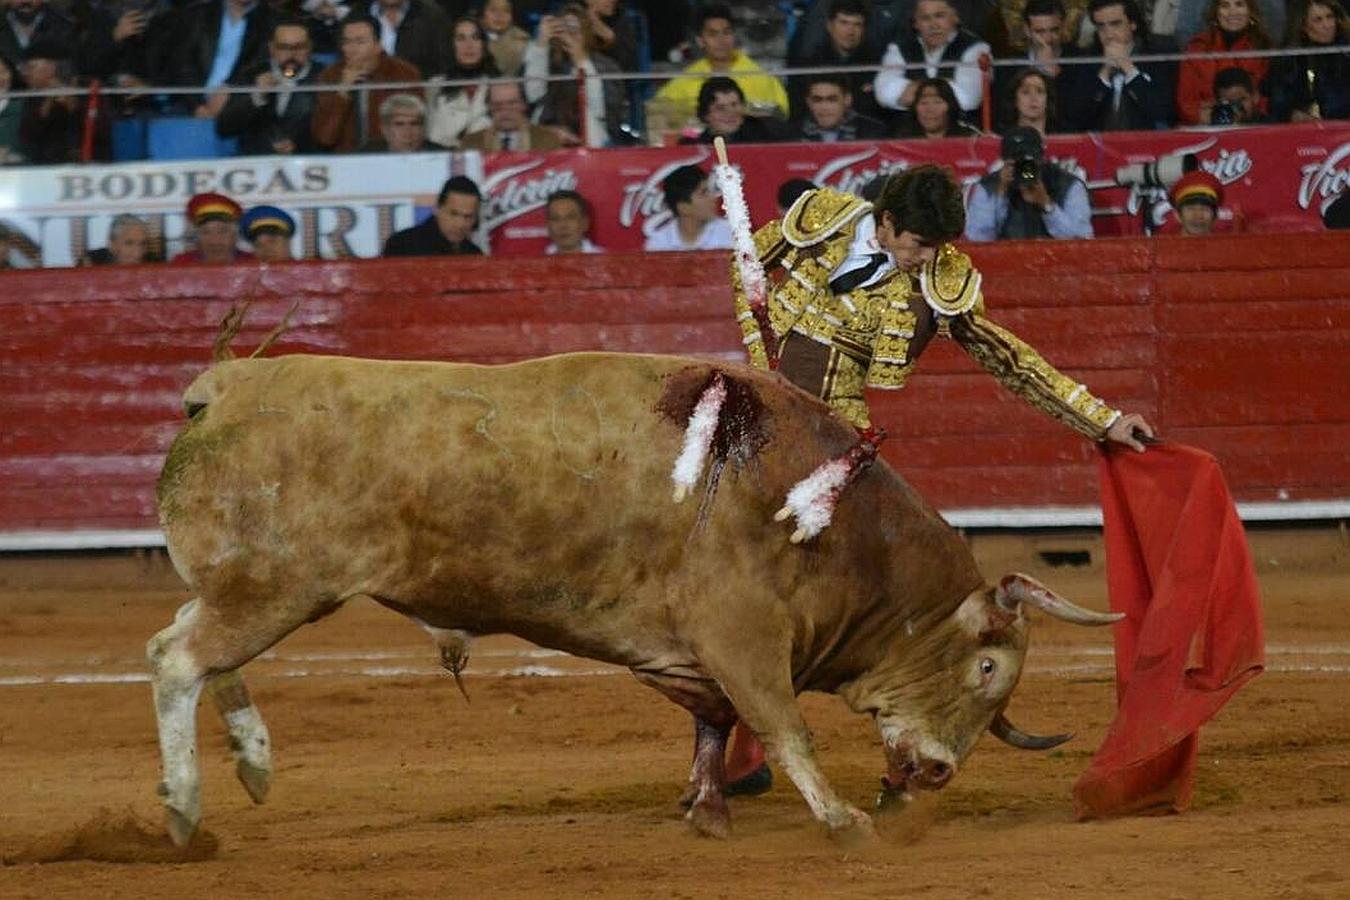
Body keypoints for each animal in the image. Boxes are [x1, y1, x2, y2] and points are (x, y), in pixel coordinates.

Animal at [145, 350, 1117, 847]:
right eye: (987, 666)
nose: (938, 772)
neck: (830, 519)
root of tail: (225, 386)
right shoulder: (742, 632)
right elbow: (782, 723)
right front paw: (841, 820)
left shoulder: (694, 652)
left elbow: (715, 722)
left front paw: (707, 809)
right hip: (275, 587)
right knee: (178, 658)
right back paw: (187, 811)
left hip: (251, 587)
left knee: (200, 651)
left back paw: (253, 766)